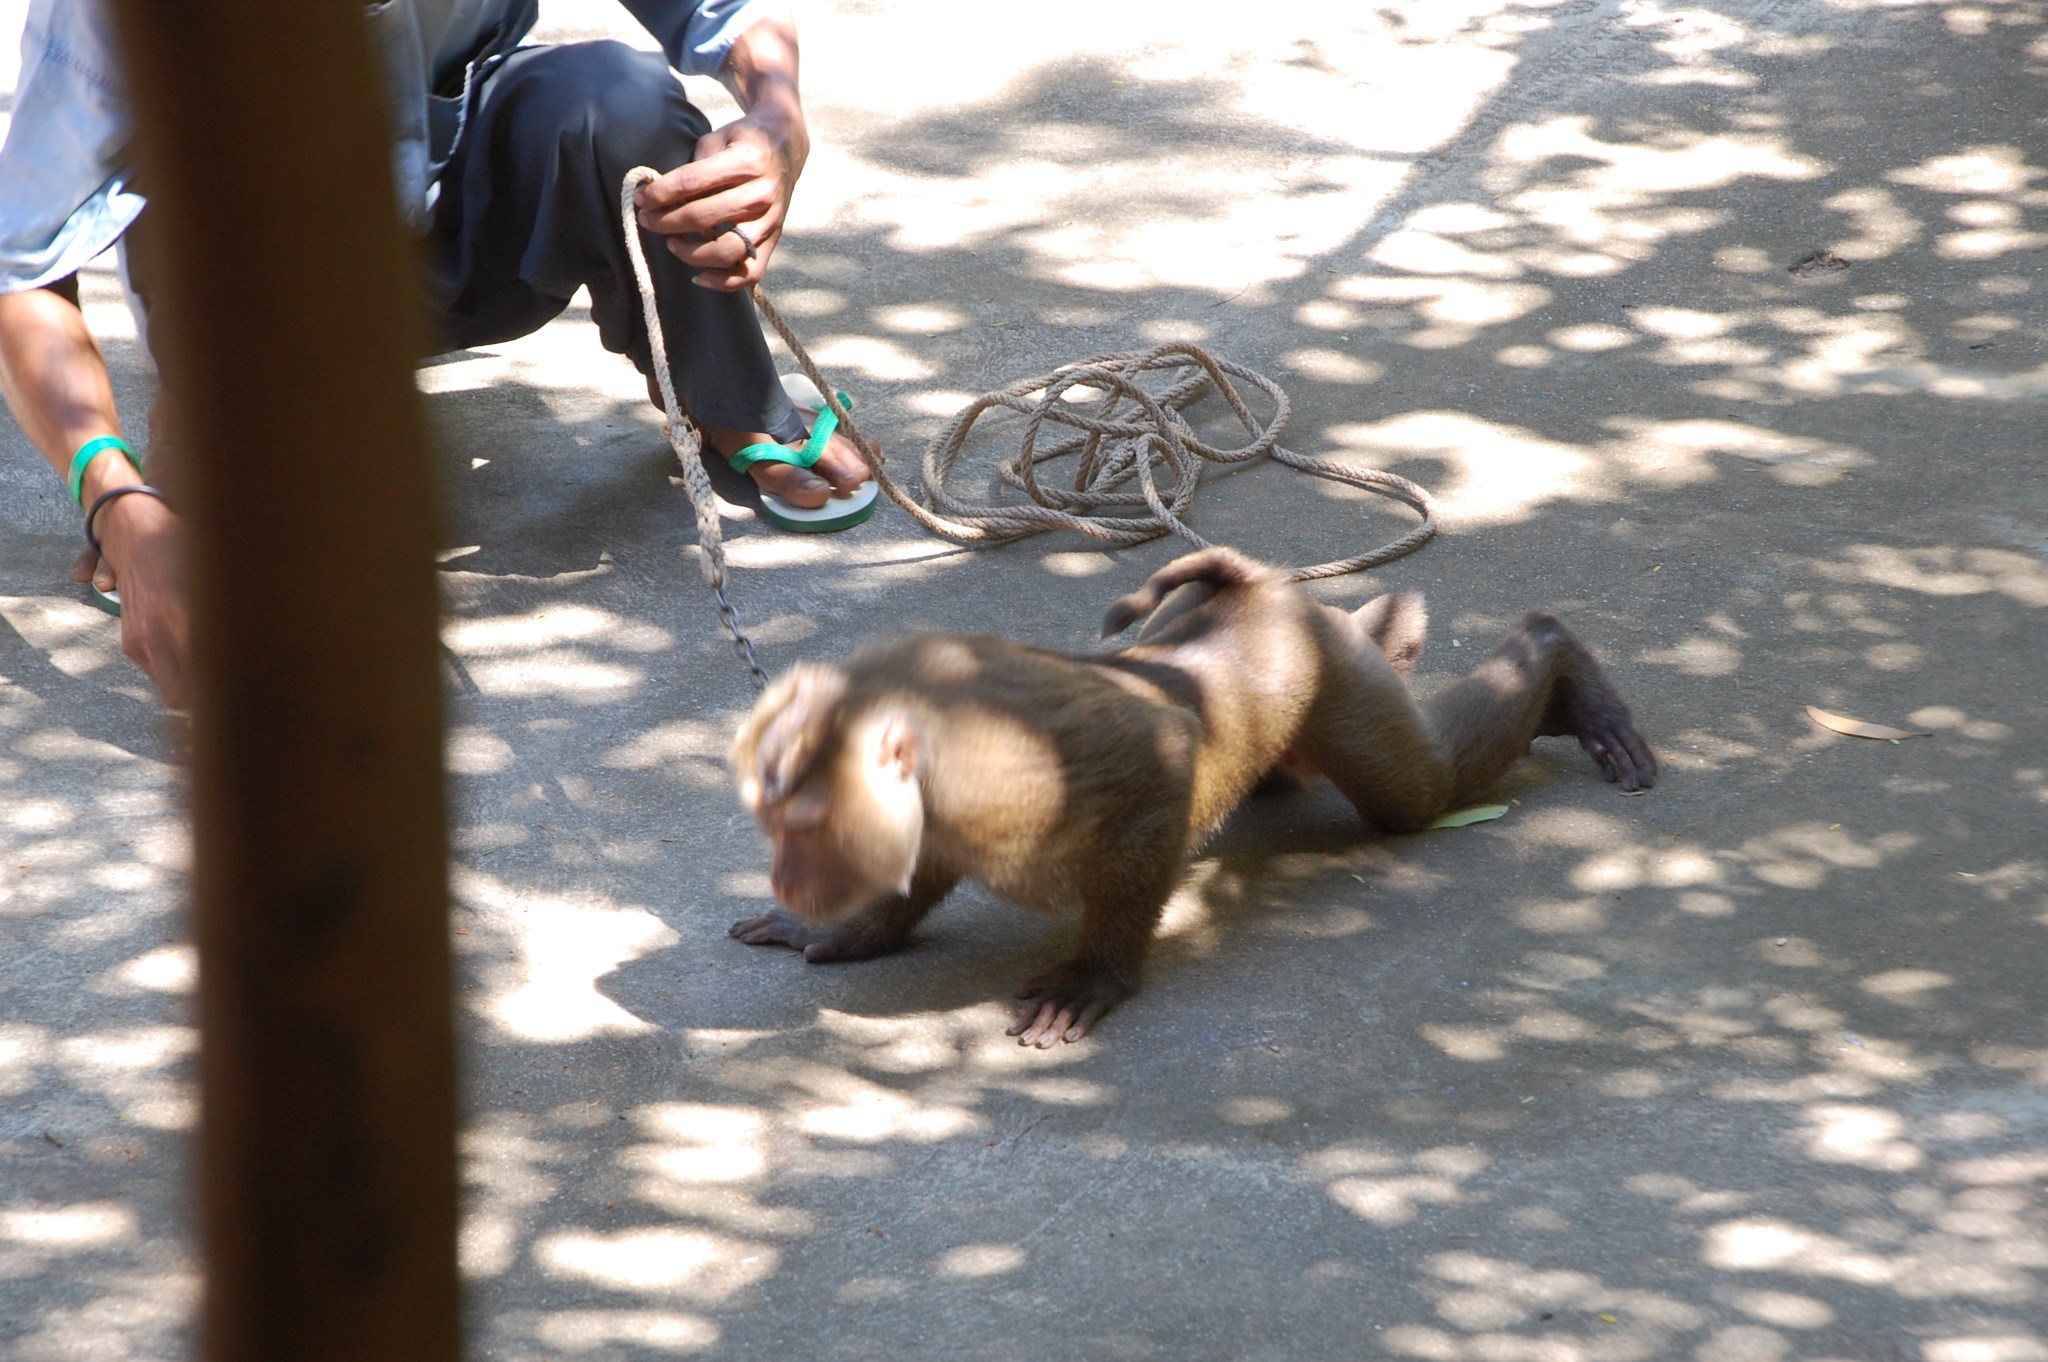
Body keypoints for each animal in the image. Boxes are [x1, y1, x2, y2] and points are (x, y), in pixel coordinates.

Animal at [729, 548, 1654, 1044]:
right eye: (771, 824)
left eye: (806, 824)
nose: (785, 875)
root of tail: (1253, 585)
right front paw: (852, 929)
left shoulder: (1011, 771)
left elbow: (1166, 753)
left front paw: (1096, 974)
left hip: (1322, 662)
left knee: (1415, 795)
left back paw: (1559, 661)